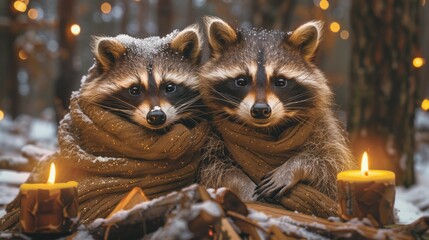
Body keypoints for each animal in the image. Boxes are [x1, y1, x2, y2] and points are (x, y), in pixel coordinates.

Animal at [197, 17, 354, 201]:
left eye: (280, 81)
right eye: (241, 81)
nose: (260, 110)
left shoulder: (321, 126)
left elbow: (331, 165)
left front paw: (294, 167)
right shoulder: (208, 133)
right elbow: (211, 168)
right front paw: (243, 184)